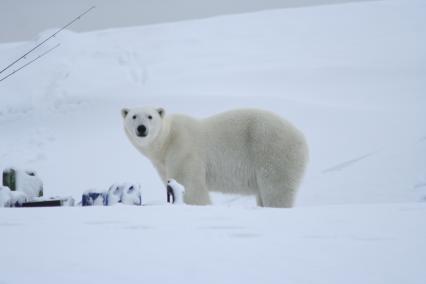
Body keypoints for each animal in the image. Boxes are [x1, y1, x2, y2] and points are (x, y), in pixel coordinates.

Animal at [121, 107, 308, 207]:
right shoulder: (163, 163)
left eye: (150, 116)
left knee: (276, 188)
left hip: (273, 150)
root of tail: (302, 138)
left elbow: (191, 186)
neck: (167, 139)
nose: (142, 128)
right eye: (134, 116)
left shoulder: (184, 149)